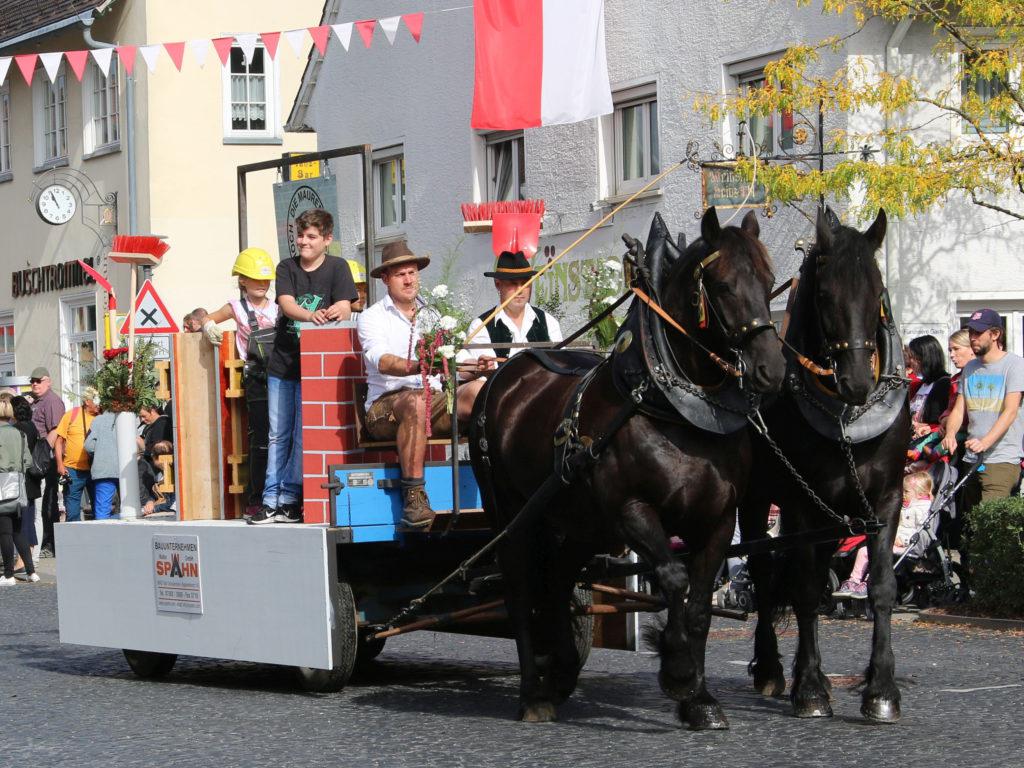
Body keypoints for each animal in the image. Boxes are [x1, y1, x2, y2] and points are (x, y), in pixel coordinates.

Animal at [468, 208, 782, 729]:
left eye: (769, 280)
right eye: (721, 285)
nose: (771, 370)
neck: (672, 407)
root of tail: (505, 376)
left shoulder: (718, 521)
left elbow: (700, 605)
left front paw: (701, 700)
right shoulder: (631, 511)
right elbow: (673, 578)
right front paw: (676, 670)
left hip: (578, 522)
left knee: (557, 578)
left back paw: (561, 673)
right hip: (512, 515)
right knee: (519, 586)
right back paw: (533, 693)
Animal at [737, 207, 913, 724]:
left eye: (877, 292)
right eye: (824, 295)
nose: (856, 381)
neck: (847, 418)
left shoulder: (884, 501)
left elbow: (882, 587)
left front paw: (881, 690)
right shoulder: (800, 503)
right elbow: (804, 587)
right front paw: (811, 689)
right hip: (757, 499)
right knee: (762, 568)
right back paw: (773, 668)